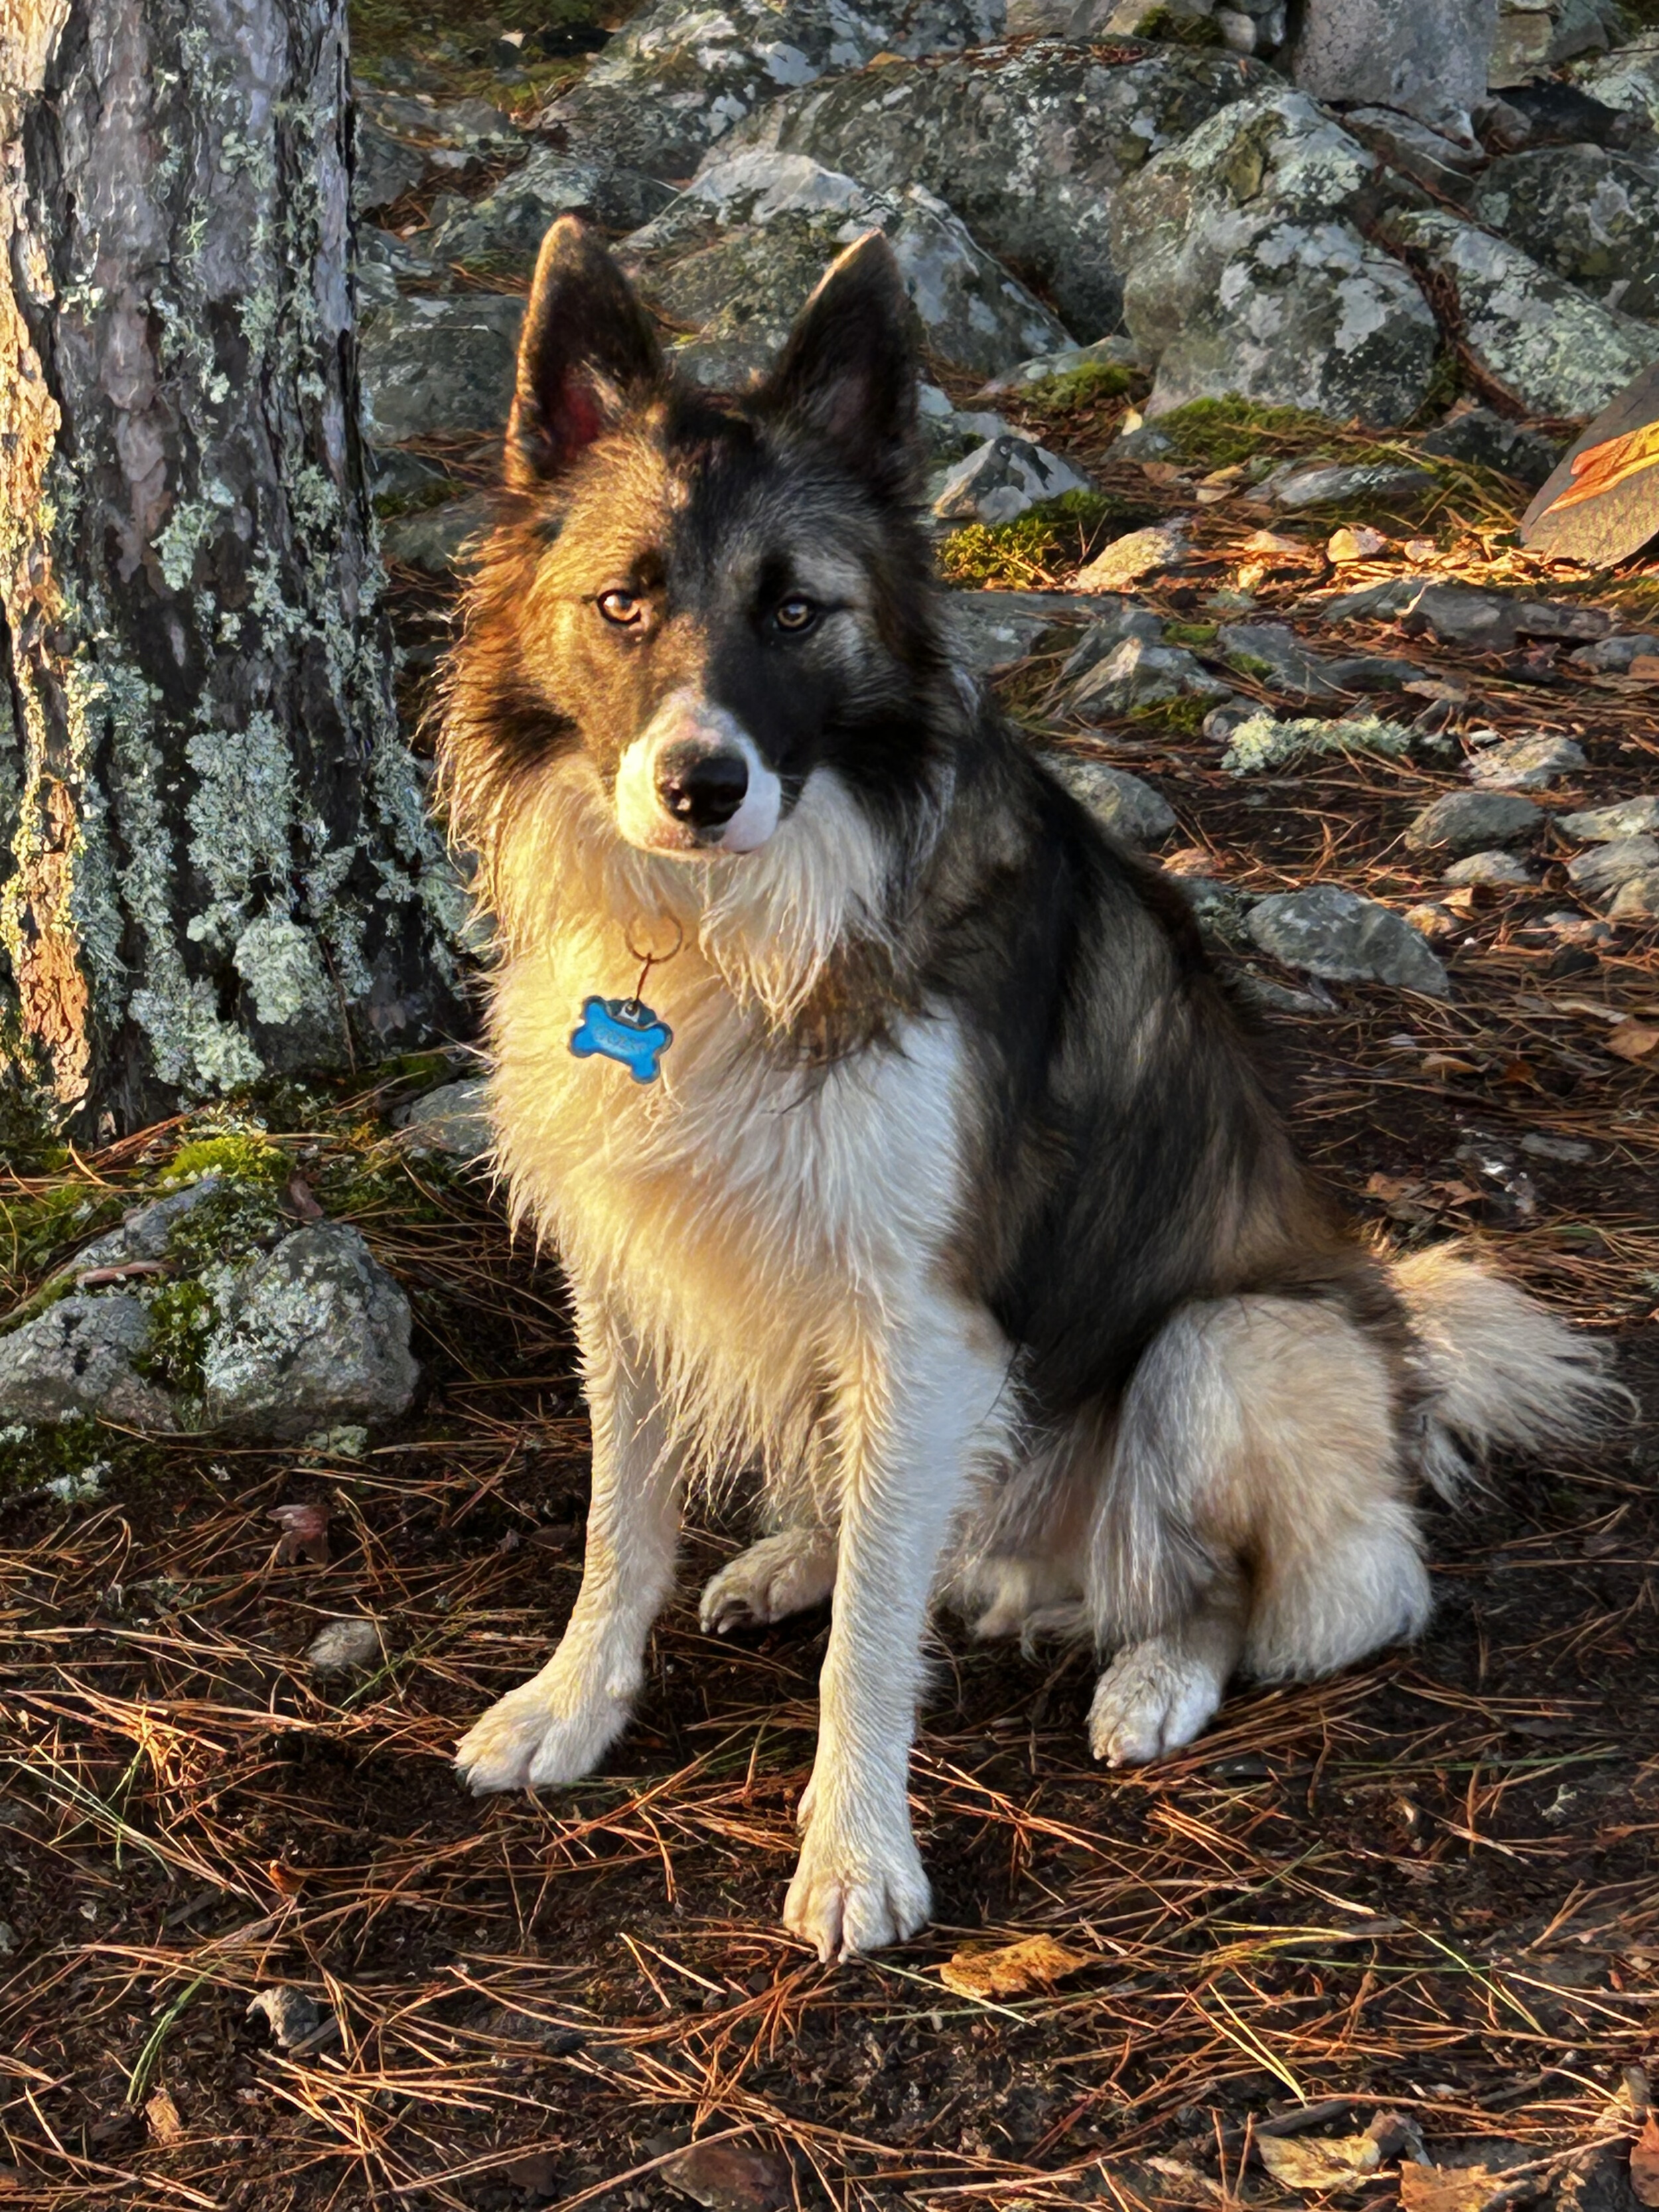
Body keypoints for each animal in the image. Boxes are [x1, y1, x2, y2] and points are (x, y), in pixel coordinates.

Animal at [439, 216, 1614, 1962]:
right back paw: (800, 1555)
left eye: (796, 612)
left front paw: (856, 1851)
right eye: (626, 599)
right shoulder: (628, 1257)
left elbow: (874, 1637)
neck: (727, 933)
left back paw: (1151, 1677)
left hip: (1230, 1344)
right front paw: (576, 1702)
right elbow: (621, 1524)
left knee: (1285, 1591)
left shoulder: (922, 1315)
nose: (699, 785)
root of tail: (1401, 1348)